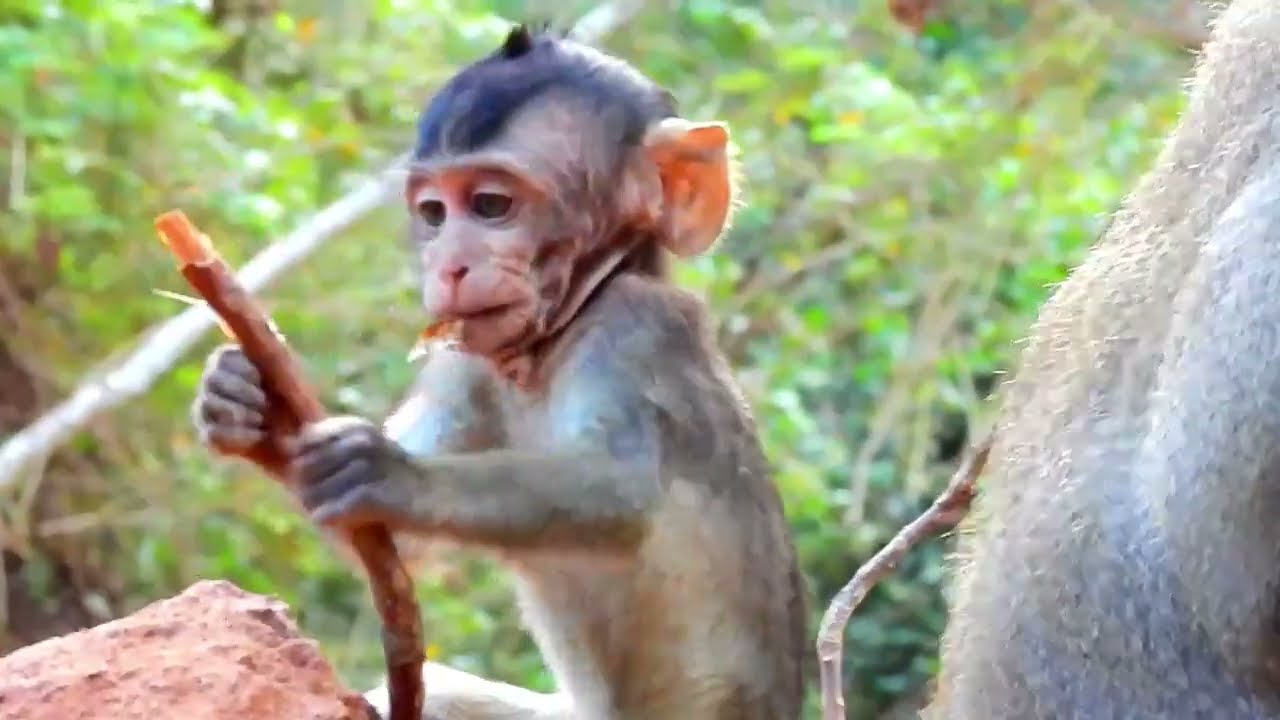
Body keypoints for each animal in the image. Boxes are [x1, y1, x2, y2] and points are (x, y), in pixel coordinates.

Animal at [190, 25, 807, 720]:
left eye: (490, 205)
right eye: (434, 213)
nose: (450, 266)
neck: (553, 340)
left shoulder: (635, 329)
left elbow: (622, 493)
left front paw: (392, 473)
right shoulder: (466, 363)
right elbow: (390, 544)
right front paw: (249, 402)